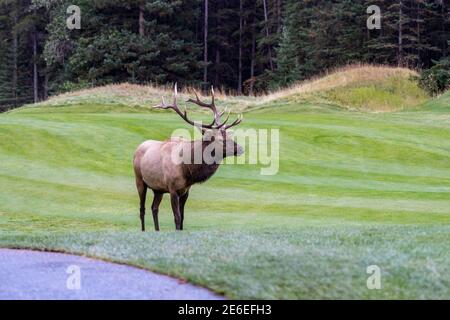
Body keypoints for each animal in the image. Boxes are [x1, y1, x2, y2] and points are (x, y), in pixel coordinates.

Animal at [134, 84, 244, 231]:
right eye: (221, 140)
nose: (241, 149)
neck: (186, 170)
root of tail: (138, 148)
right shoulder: (173, 189)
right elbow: (177, 217)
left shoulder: (185, 191)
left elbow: (182, 218)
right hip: (139, 180)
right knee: (142, 208)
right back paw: (143, 230)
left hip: (158, 188)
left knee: (154, 208)